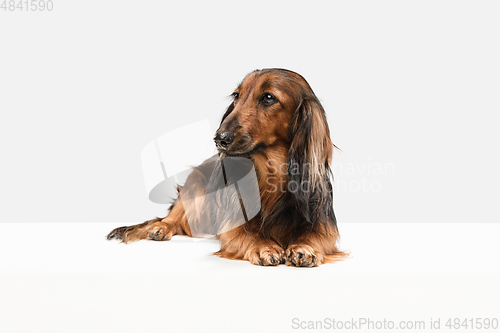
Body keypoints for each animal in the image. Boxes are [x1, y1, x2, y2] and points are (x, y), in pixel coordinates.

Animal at [107, 68, 346, 268]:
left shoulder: (324, 224)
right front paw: (265, 246)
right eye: (237, 95)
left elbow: (317, 237)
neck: (272, 174)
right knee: (174, 218)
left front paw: (304, 247)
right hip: (194, 188)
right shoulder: (233, 225)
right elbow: (248, 235)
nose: (219, 138)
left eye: (268, 97)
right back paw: (160, 228)